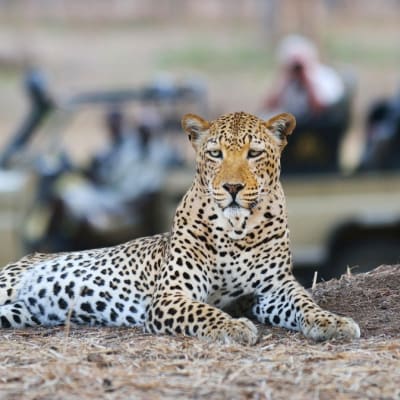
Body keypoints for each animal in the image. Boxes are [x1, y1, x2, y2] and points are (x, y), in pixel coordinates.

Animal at [0, 111, 362, 342]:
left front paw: (332, 321)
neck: (236, 230)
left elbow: (305, 303)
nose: (232, 187)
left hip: (18, 313)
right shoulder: (171, 295)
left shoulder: (274, 288)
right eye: (215, 154)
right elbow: (204, 312)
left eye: (254, 153)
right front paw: (233, 328)